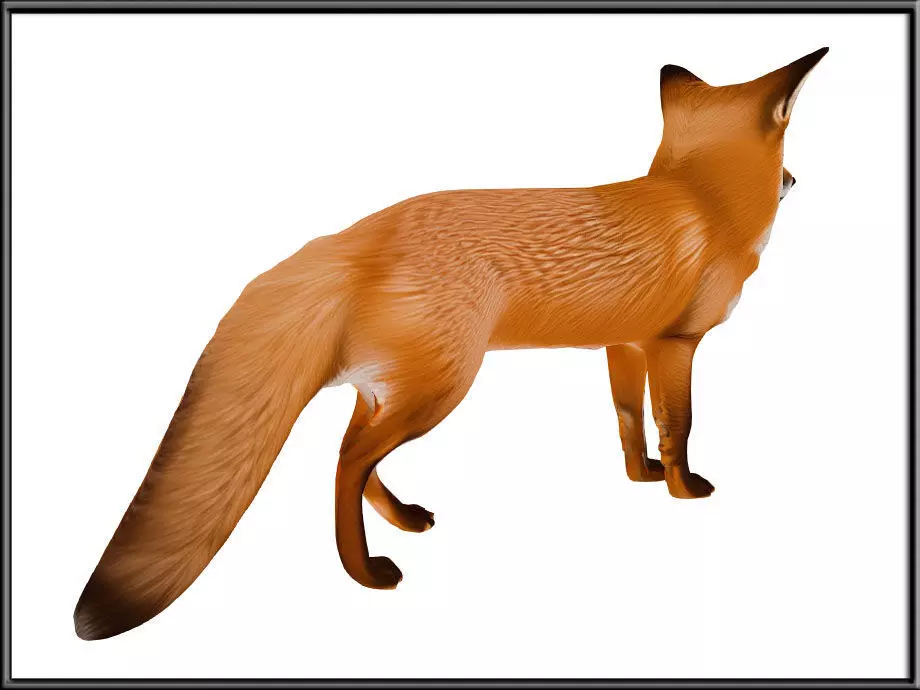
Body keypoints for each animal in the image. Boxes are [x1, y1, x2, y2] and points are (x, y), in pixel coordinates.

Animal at [74, 48, 827, 640]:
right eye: (788, 155)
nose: (797, 182)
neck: (699, 196)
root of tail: (356, 235)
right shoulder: (675, 344)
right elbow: (679, 423)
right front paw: (681, 489)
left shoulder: (624, 346)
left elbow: (625, 418)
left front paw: (639, 477)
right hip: (441, 389)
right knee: (346, 461)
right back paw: (364, 573)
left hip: (398, 388)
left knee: (351, 455)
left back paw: (402, 520)